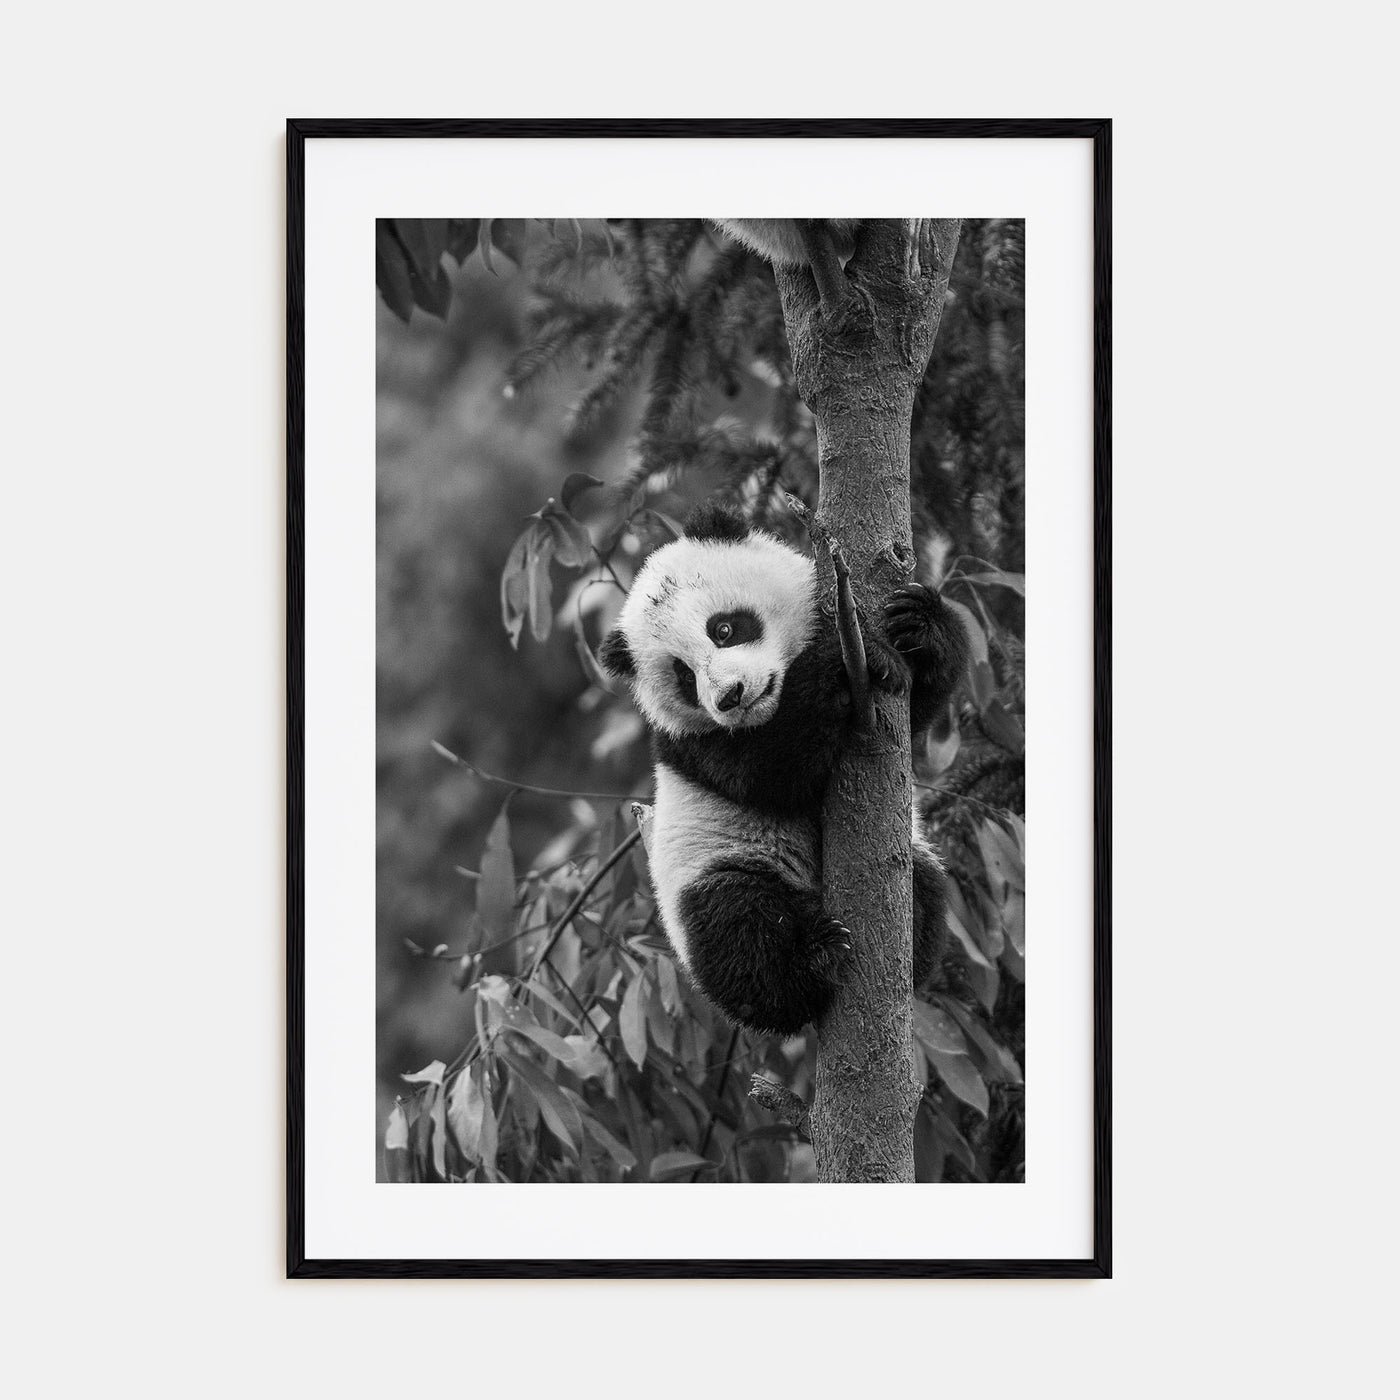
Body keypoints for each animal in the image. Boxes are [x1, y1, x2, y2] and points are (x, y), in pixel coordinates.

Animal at [598, 501, 969, 1037]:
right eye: (684, 677)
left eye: (724, 628)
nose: (730, 697)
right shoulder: (693, 744)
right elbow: (772, 771)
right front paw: (842, 663)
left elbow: (916, 707)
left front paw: (917, 624)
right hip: (715, 868)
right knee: (739, 931)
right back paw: (813, 960)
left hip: (913, 855)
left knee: (927, 884)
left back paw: (908, 946)